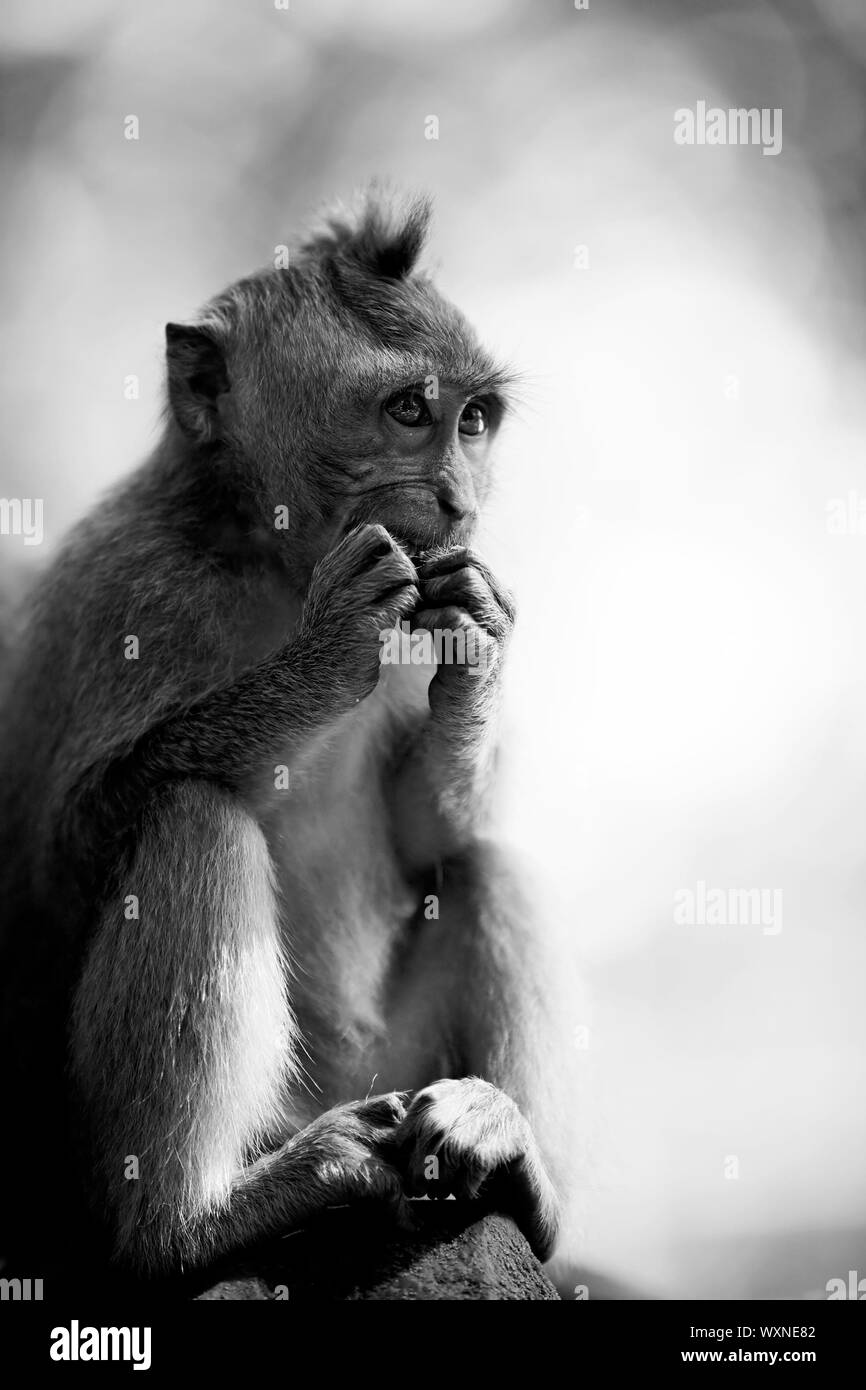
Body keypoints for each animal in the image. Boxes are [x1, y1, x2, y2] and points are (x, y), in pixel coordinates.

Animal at [0, 193, 580, 1290]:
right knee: (191, 811)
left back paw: (513, 1160)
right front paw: (325, 652)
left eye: (474, 419)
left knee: (482, 860)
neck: (268, 556)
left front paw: (479, 643)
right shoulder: (125, 589)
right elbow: (62, 860)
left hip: (394, 1071)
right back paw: (194, 1220)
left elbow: (427, 831)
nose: (458, 498)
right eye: (408, 411)